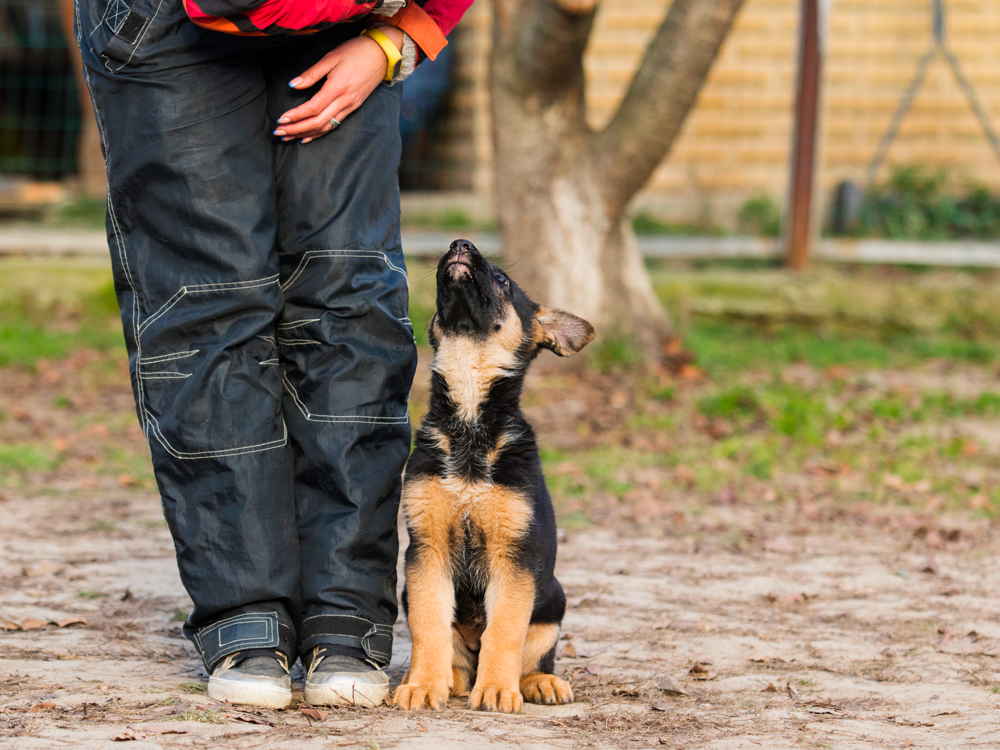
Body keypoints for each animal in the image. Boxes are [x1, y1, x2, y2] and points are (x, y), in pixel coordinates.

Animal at [392, 241, 592, 716]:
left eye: (502, 280)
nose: (459, 244)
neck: (470, 423)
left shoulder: (514, 558)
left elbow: (505, 631)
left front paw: (498, 690)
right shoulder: (427, 550)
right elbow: (429, 626)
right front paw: (423, 685)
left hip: (552, 597)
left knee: (534, 654)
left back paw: (538, 682)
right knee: (454, 653)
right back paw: (446, 678)